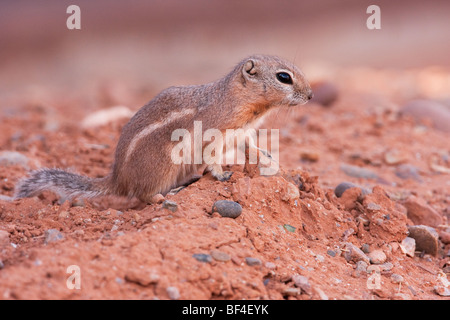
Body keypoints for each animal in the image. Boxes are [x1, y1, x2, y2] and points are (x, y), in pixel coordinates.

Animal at [13, 53, 310, 201]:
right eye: (283, 77)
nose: (310, 95)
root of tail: (117, 180)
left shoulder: (244, 131)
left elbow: (250, 145)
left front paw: (265, 155)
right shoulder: (215, 132)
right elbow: (212, 156)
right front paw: (221, 174)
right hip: (164, 165)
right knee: (143, 196)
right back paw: (168, 195)